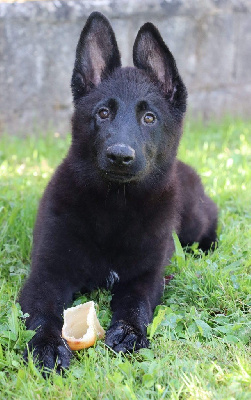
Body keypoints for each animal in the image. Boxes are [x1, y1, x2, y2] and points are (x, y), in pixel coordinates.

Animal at [19, 10, 218, 372]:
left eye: (149, 117)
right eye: (103, 113)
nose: (120, 156)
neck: (115, 207)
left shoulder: (146, 277)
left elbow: (135, 304)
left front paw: (128, 332)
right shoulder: (46, 273)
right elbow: (43, 314)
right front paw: (47, 346)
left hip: (195, 220)